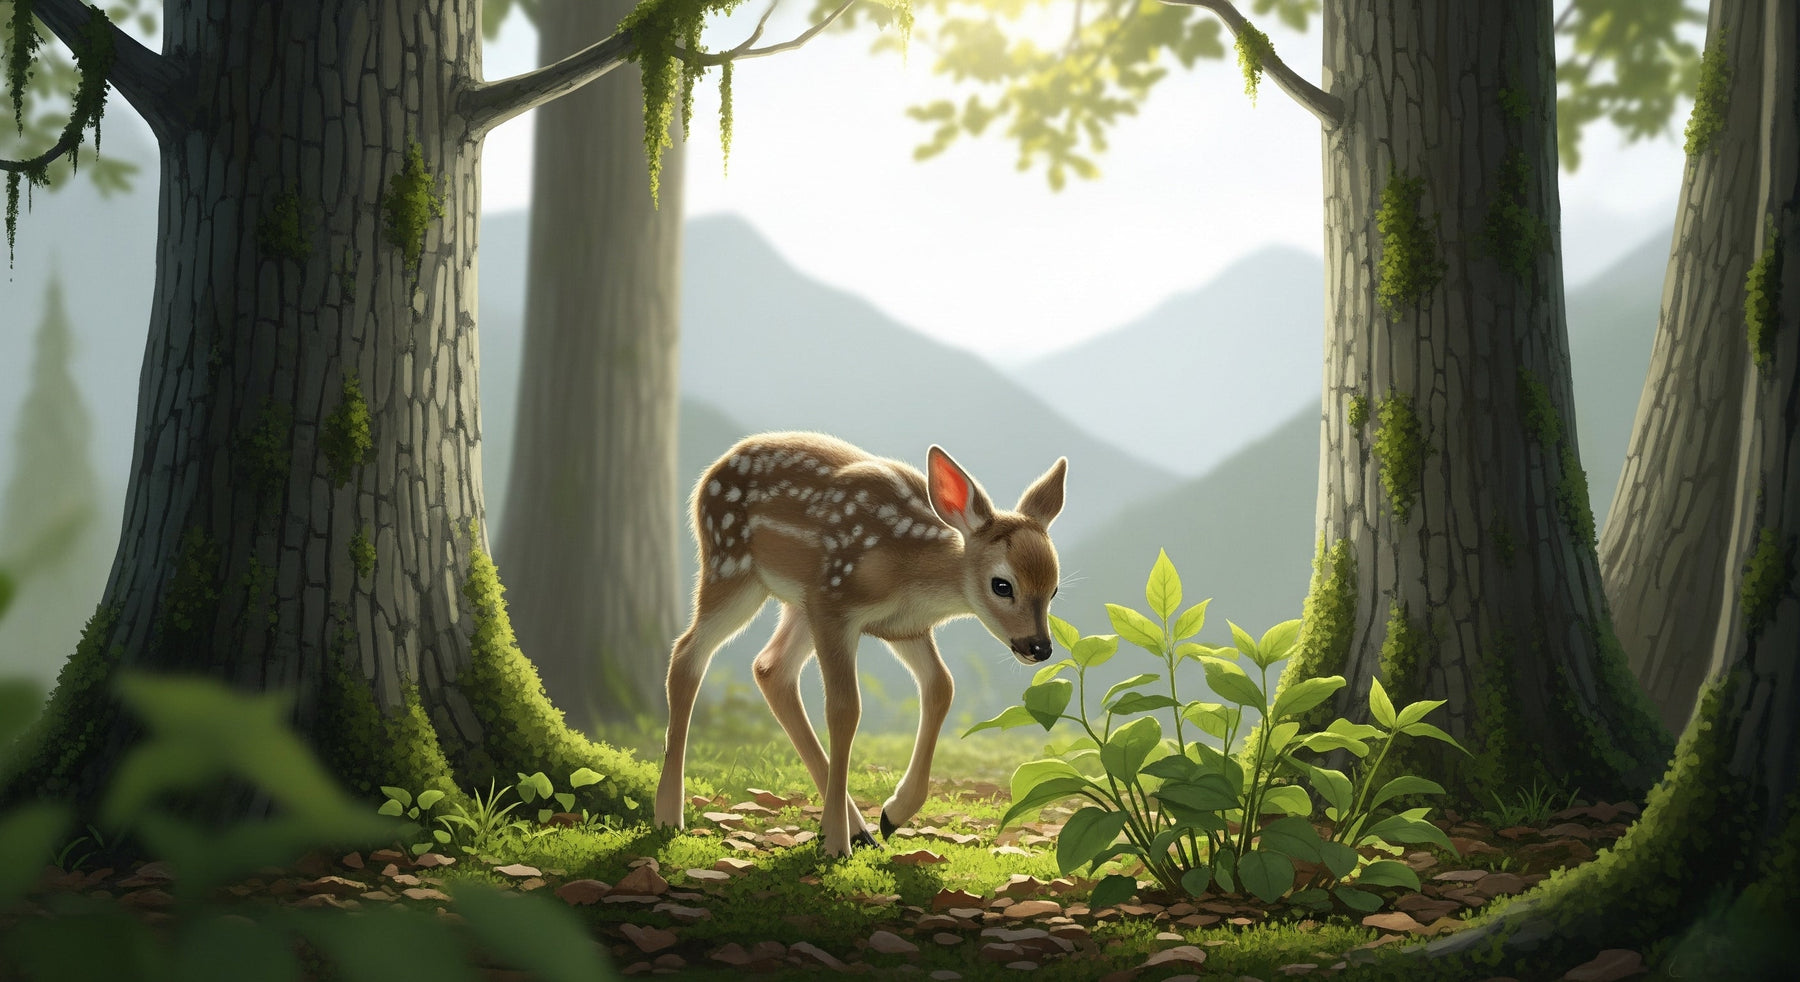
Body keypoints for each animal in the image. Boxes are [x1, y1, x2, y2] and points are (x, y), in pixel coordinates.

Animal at [653, 432, 1068, 857]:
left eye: (1054, 589)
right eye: (1002, 585)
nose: (1039, 647)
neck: (912, 573)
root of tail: (710, 474)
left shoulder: (903, 628)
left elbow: (941, 687)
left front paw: (891, 816)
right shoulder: (836, 606)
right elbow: (844, 709)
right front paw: (836, 844)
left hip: (798, 602)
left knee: (769, 668)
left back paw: (862, 831)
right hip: (733, 566)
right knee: (687, 653)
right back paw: (669, 816)